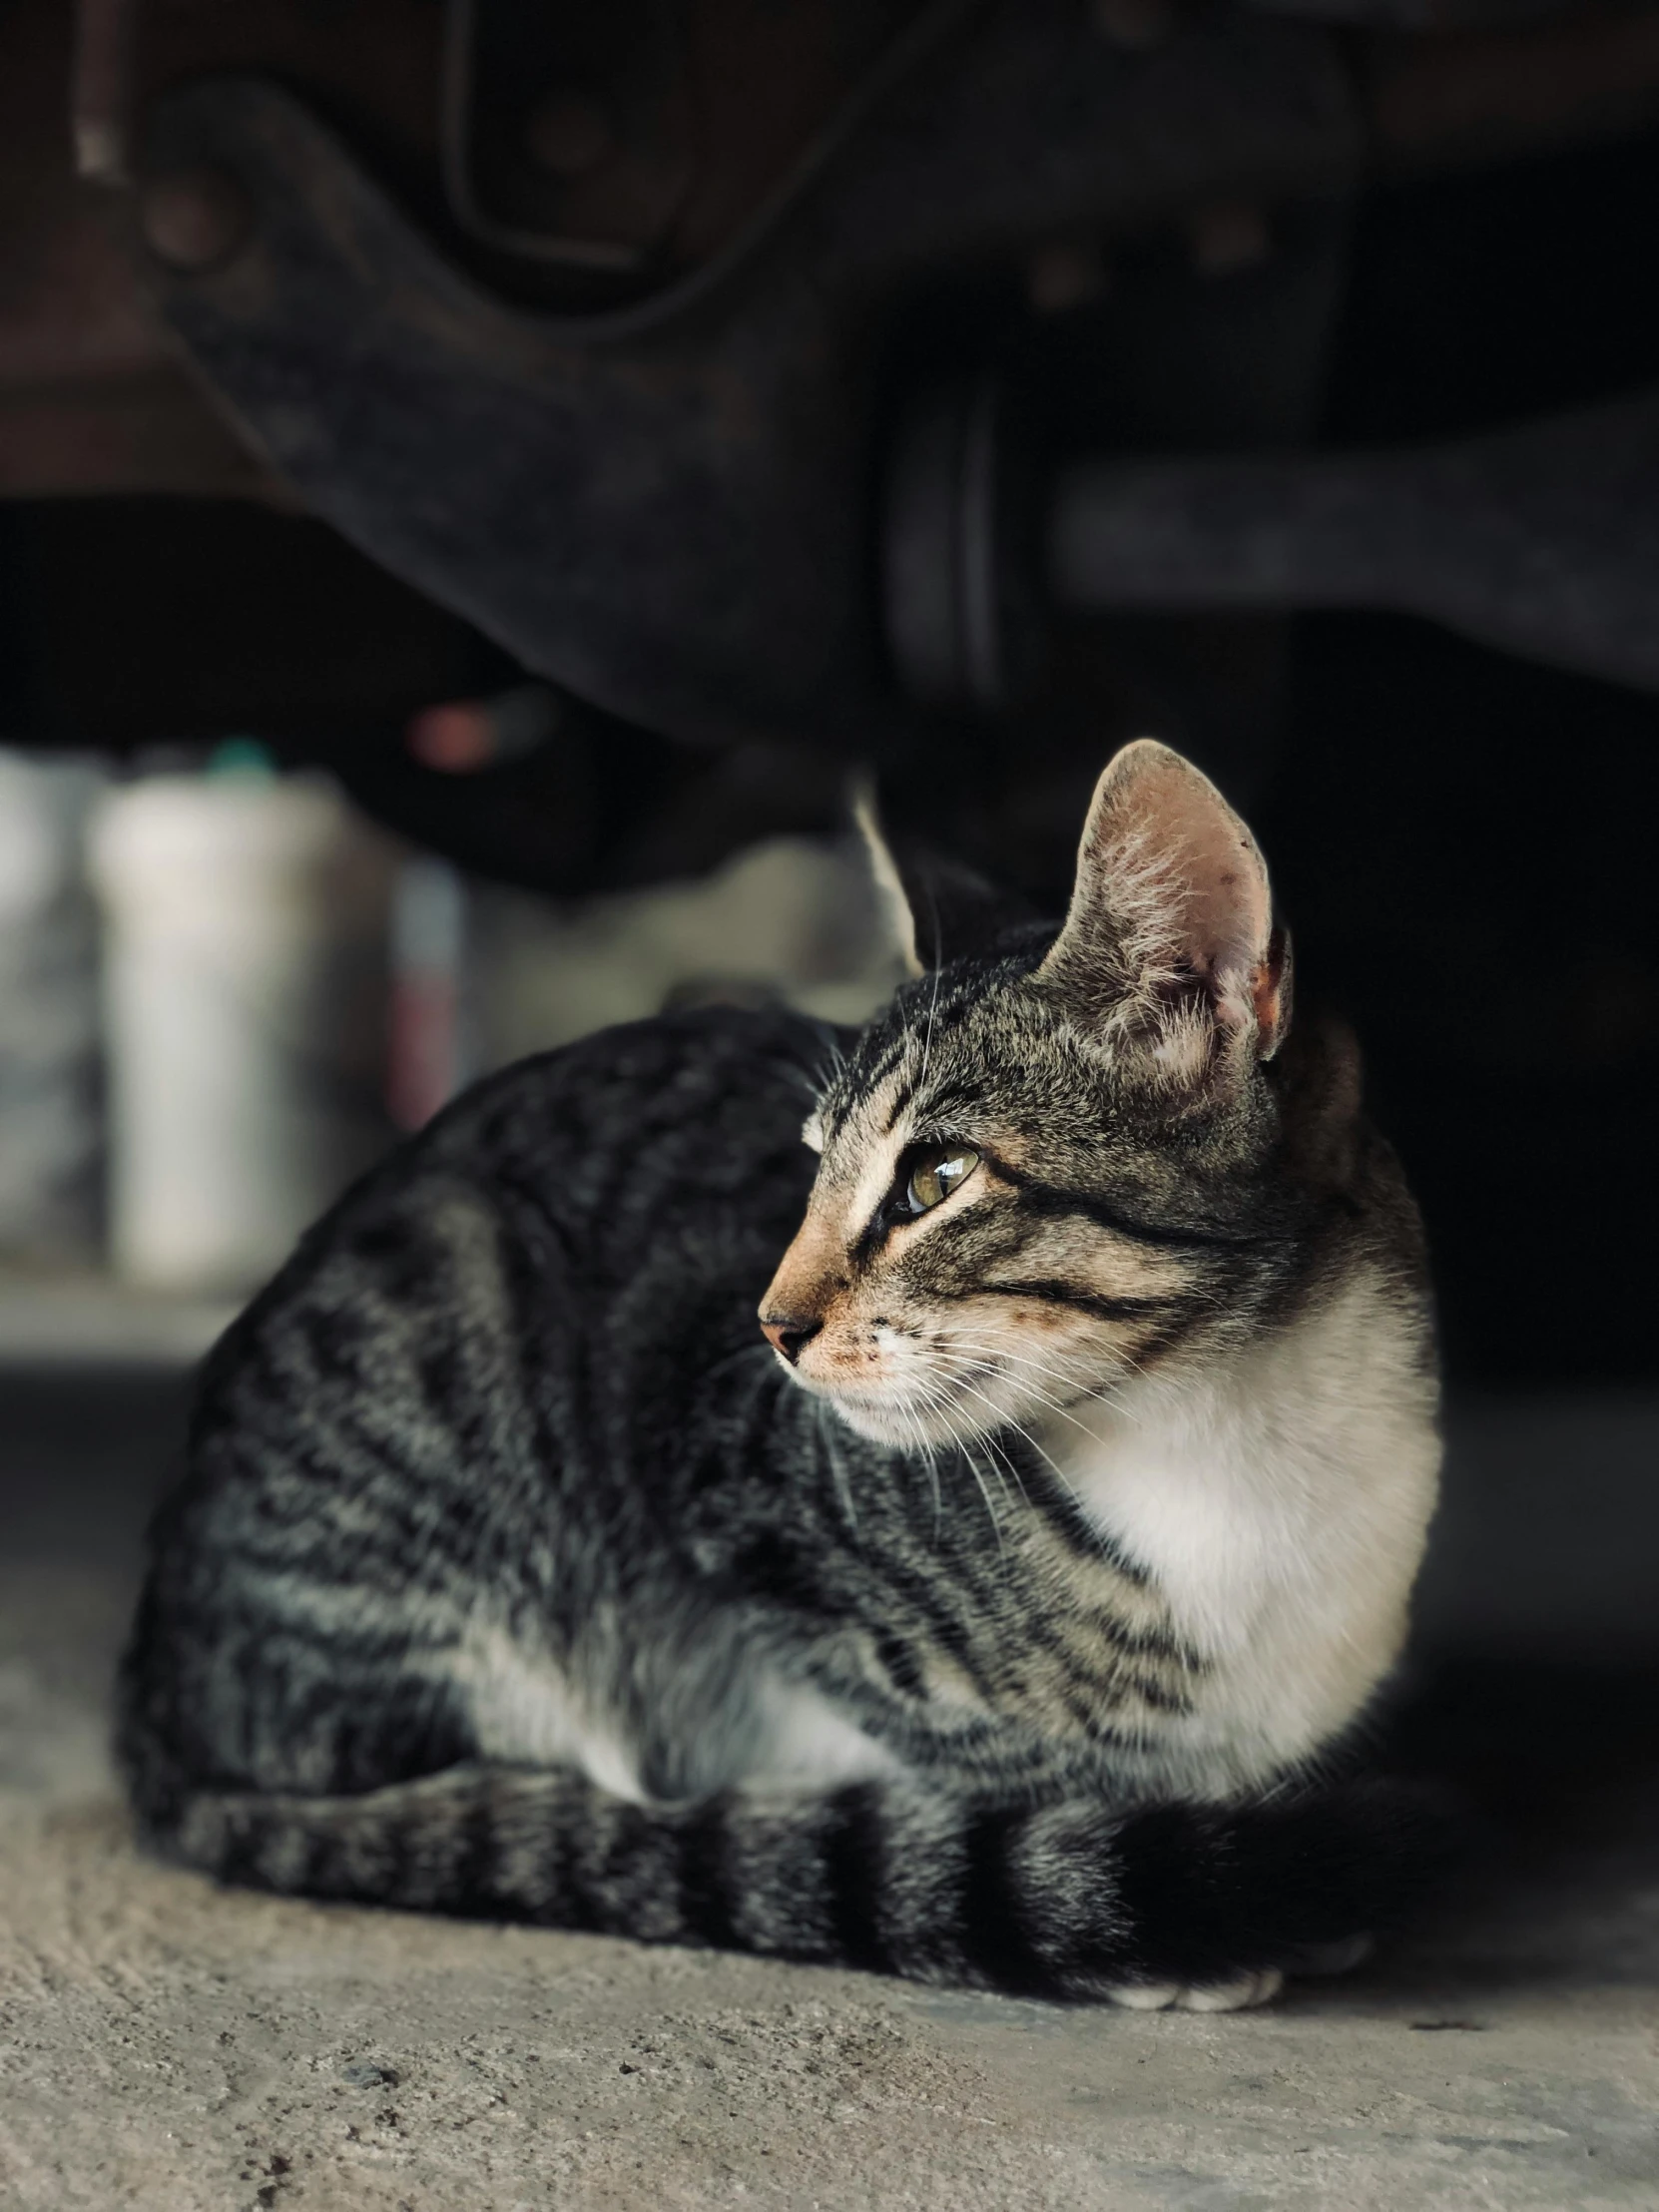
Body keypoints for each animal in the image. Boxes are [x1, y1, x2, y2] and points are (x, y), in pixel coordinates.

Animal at [120, 739, 1441, 2008]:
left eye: (935, 1179)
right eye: (806, 1171)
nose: (771, 1323)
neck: (1234, 1425)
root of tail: (150, 1694)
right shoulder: (725, 1478)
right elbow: (977, 1743)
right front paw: (1142, 1886)